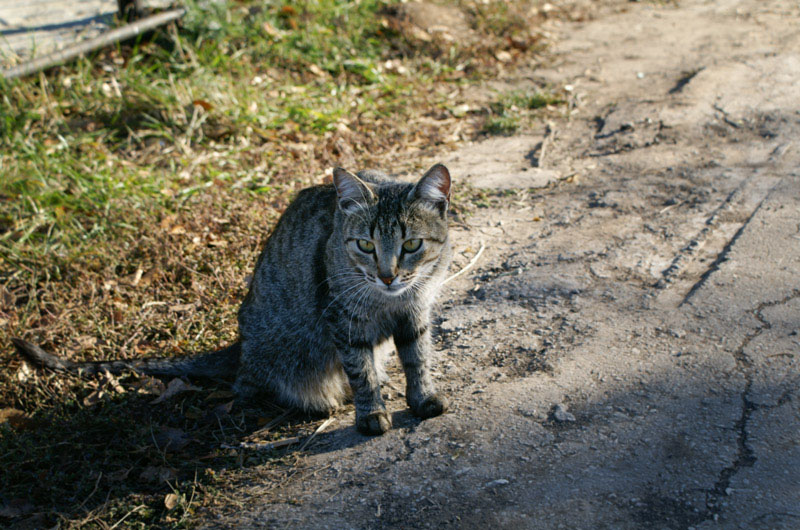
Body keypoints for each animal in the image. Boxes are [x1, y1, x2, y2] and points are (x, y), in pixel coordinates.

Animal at [9, 164, 454, 434]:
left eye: (411, 245)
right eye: (364, 245)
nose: (387, 275)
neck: (388, 300)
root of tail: (240, 344)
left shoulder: (415, 312)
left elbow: (418, 358)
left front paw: (422, 398)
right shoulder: (345, 323)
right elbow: (361, 372)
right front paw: (372, 413)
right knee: (249, 387)